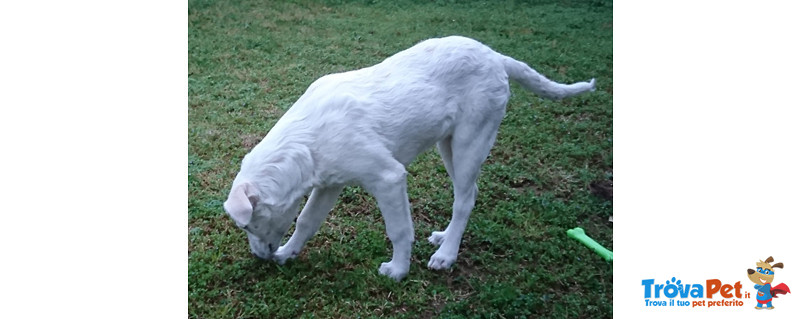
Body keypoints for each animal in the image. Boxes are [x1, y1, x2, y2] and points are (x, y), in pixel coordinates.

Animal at [223, 35, 592, 282]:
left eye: (249, 224)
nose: (259, 258)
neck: (306, 138)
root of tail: (495, 56)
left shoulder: (388, 177)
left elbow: (399, 229)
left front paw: (398, 270)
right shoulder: (329, 183)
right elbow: (306, 221)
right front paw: (288, 252)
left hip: (472, 140)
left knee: (464, 199)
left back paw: (446, 255)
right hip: (448, 144)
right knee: (468, 193)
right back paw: (445, 238)